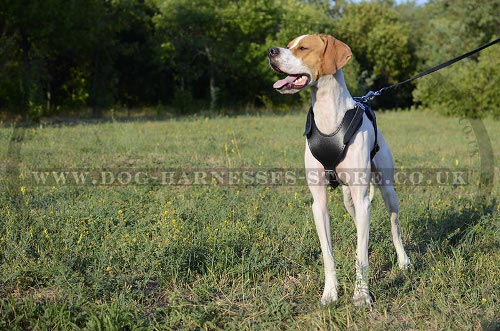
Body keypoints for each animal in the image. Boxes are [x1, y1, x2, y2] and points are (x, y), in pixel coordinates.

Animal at [270, 34, 410, 306]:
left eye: (303, 48)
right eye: (288, 44)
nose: (271, 51)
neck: (327, 115)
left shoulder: (364, 196)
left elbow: (361, 258)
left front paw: (361, 295)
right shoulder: (319, 203)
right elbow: (328, 254)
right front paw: (330, 293)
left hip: (388, 192)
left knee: (394, 227)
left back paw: (403, 260)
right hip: (350, 200)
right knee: (360, 226)